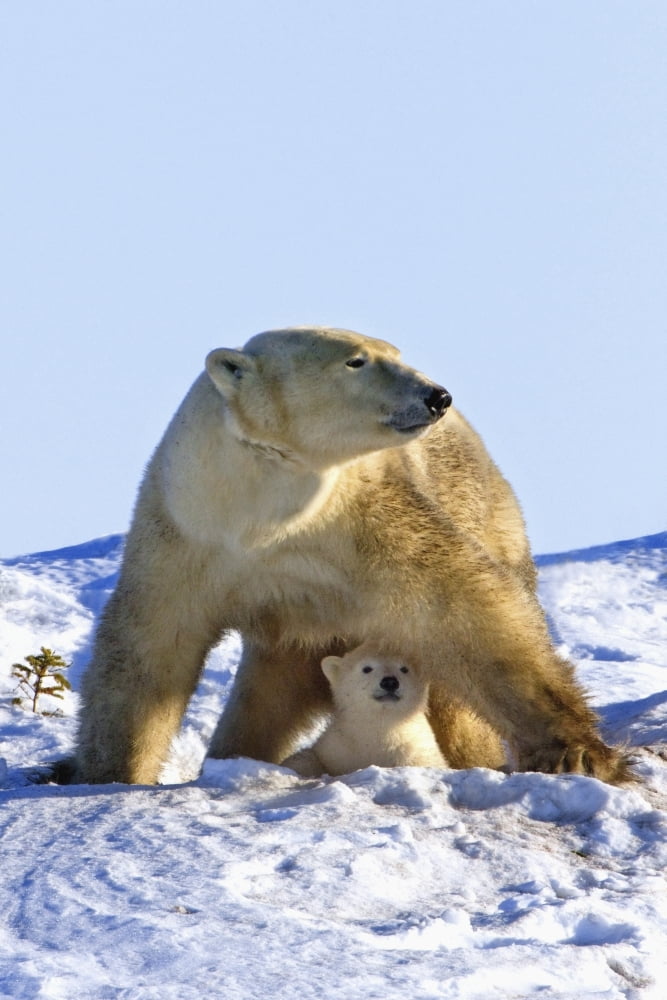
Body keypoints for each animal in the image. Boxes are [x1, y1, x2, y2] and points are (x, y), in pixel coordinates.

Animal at [282, 644, 448, 777]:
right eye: (367, 668)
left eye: (404, 669)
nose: (390, 682)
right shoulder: (337, 749)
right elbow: (308, 758)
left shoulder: (417, 751)